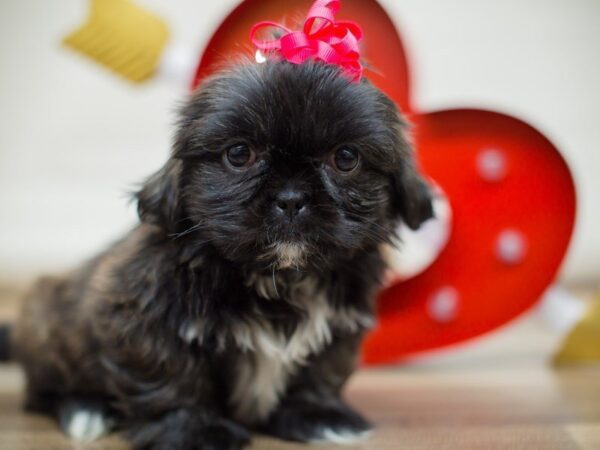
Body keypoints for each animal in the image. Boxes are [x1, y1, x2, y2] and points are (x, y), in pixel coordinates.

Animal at [8, 60, 432, 450]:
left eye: (346, 158)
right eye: (239, 154)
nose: (291, 198)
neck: (279, 279)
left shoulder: (338, 327)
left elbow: (320, 372)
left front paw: (317, 416)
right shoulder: (142, 316)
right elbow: (172, 376)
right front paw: (193, 431)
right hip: (49, 328)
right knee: (41, 391)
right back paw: (86, 410)